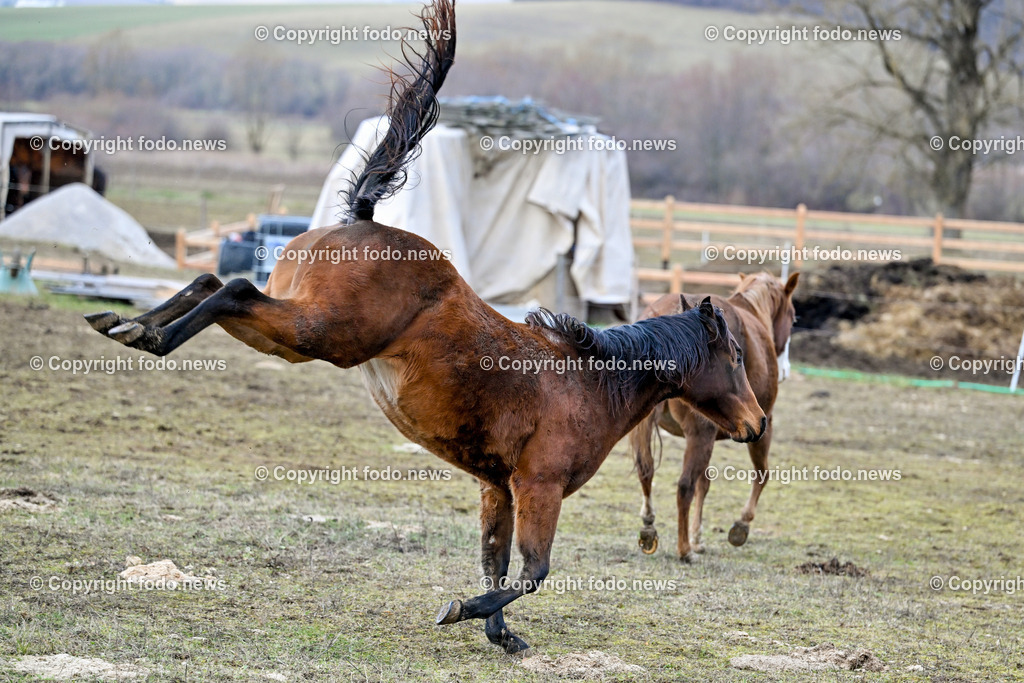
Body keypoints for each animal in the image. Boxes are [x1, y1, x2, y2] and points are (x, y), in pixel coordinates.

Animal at [84, 0, 766, 654]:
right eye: (734, 356)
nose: (758, 422)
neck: (588, 382)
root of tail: (361, 217)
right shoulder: (538, 486)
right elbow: (532, 572)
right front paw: (462, 611)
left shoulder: (499, 487)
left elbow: (496, 561)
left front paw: (500, 635)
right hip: (318, 334)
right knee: (233, 290)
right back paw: (147, 336)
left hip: (291, 335)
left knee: (213, 285)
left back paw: (122, 323)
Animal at [629, 271, 799, 563]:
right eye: (794, 317)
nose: (786, 369)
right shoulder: (762, 424)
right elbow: (762, 473)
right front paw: (740, 525)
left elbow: (704, 483)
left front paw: (698, 536)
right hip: (704, 435)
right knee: (684, 486)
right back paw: (684, 549)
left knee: (646, 470)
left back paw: (650, 527)